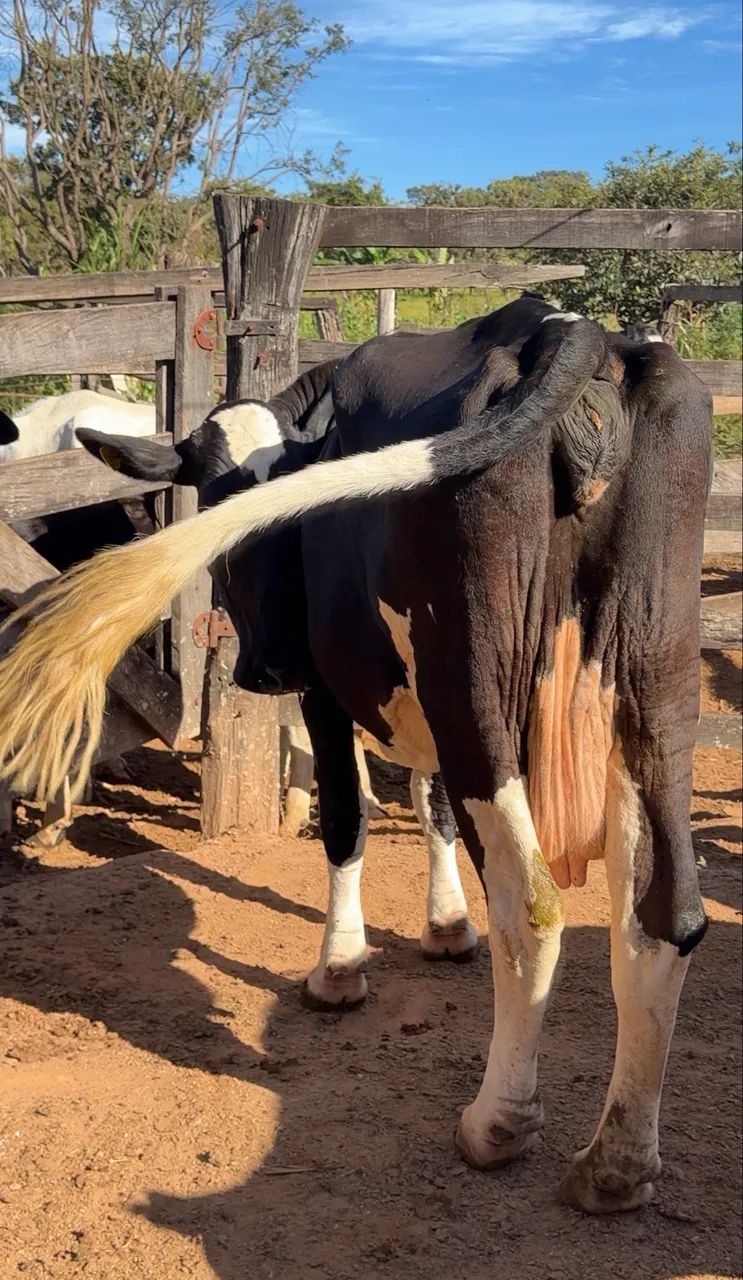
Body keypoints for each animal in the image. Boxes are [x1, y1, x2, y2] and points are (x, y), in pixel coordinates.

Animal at [0, 297, 712, 1212]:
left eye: (238, 505)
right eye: (218, 491)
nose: (260, 666)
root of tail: (571, 333)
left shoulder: (326, 687)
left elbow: (345, 817)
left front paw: (338, 967)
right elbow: (428, 802)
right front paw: (444, 925)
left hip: (477, 689)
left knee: (532, 905)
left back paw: (497, 1122)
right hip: (654, 691)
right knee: (664, 915)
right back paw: (616, 1161)